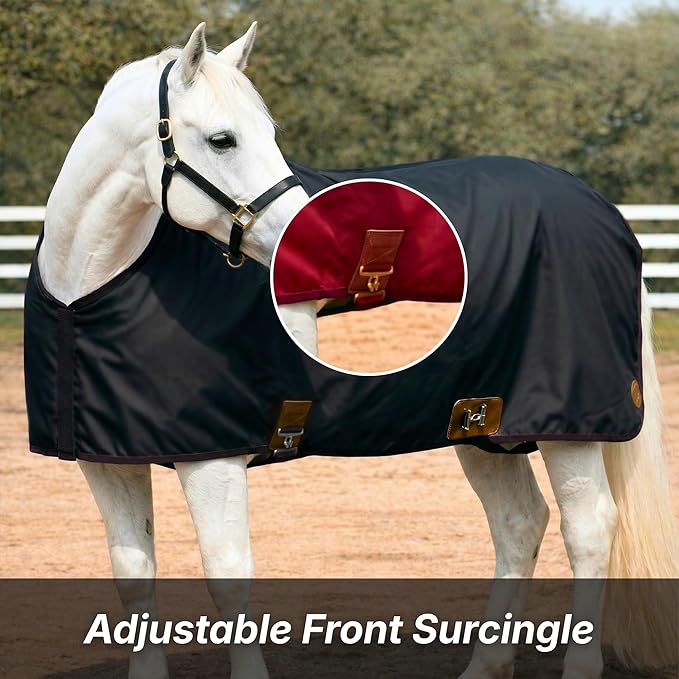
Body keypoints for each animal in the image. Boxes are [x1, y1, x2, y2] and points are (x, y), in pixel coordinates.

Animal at [32, 21, 678, 679]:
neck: (86, 295)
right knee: (520, 522)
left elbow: (227, 576)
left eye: (270, 134)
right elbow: (134, 575)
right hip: (482, 421)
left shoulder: (212, 459)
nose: (310, 243)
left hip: (565, 428)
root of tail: (603, 214)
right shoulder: (107, 460)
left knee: (588, 527)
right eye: (222, 139)